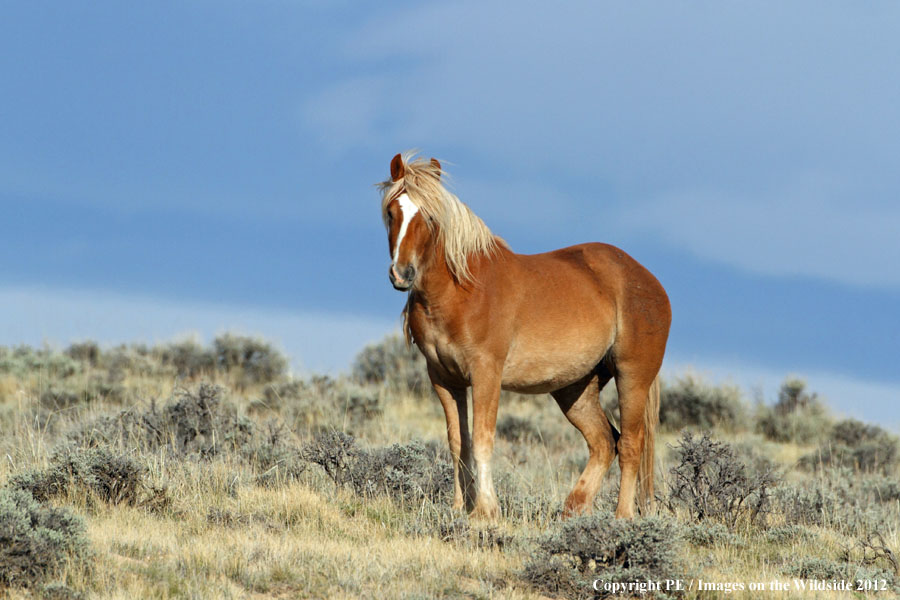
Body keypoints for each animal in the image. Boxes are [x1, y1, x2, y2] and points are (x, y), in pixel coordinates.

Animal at [378, 152, 671, 519]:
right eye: (392, 212)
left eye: (430, 217)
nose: (402, 274)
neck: (460, 291)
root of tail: (649, 280)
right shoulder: (444, 379)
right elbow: (458, 441)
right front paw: (460, 507)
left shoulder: (486, 373)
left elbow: (482, 439)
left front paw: (485, 511)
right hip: (575, 389)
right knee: (605, 442)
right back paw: (573, 509)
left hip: (632, 375)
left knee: (631, 443)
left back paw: (622, 518)